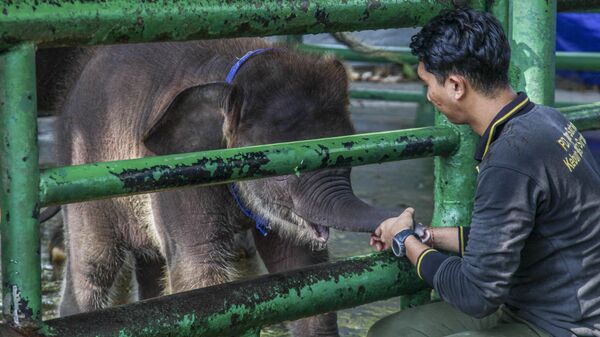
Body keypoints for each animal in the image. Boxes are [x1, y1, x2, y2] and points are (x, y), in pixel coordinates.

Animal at [45, 38, 394, 334]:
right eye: (282, 170)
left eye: (351, 153)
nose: (395, 227)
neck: (233, 78)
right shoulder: (181, 167)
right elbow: (199, 273)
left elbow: (303, 267)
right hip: (81, 169)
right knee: (94, 266)